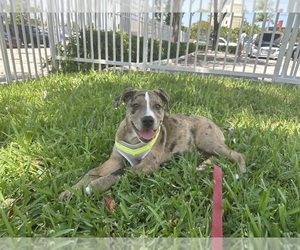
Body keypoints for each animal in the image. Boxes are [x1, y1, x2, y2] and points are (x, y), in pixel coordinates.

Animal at [59, 89, 246, 198]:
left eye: (158, 106)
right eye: (134, 105)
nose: (148, 120)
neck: (134, 139)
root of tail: (216, 124)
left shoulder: (147, 165)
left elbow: (120, 172)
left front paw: (94, 187)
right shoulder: (114, 160)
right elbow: (92, 171)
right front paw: (71, 190)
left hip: (208, 141)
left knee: (237, 155)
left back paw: (240, 172)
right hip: (202, 148)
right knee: (216, 157)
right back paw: (203, 166)